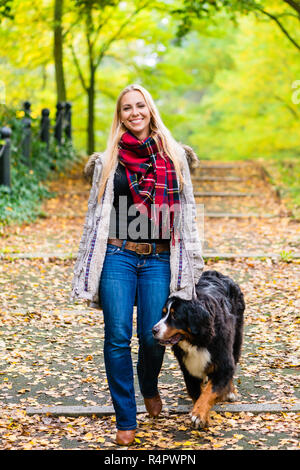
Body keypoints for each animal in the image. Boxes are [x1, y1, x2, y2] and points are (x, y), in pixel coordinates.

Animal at [151, 270, 245, 428]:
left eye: (175, 315)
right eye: (164, 313)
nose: (154, 330)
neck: (197, 341)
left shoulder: (222, 361)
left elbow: (209, 391)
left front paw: (199, 415)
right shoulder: (189, 368)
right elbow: (197, 393)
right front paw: (201, 414)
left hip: (236, 339)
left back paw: (230, 391)